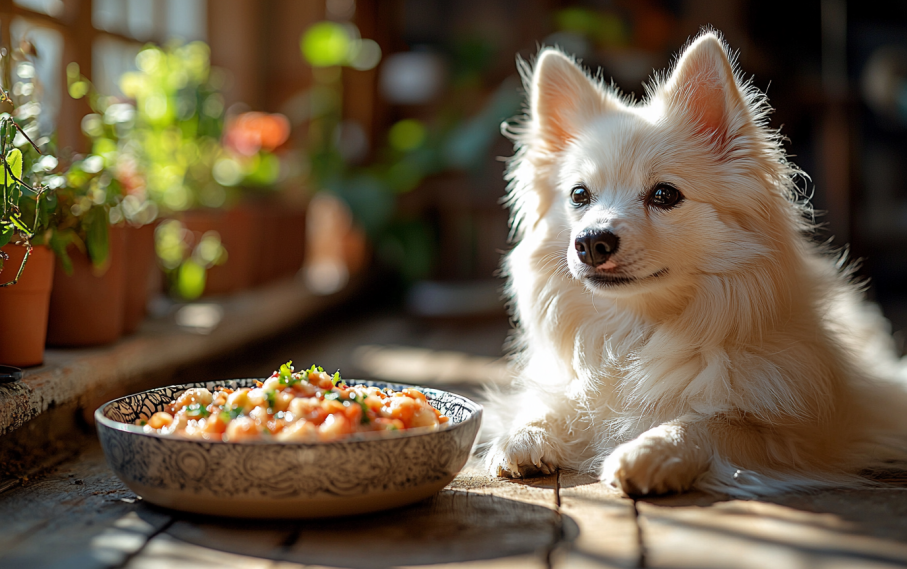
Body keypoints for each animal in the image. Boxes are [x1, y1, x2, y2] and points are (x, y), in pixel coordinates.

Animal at [486, 30, 907, 496]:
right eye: (579, 196)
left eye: (664, 195)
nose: (591, 241)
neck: (637, 331)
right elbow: (548, 407)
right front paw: (523, 435)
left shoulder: (796, 434)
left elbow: (708, 422)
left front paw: (651, 449)